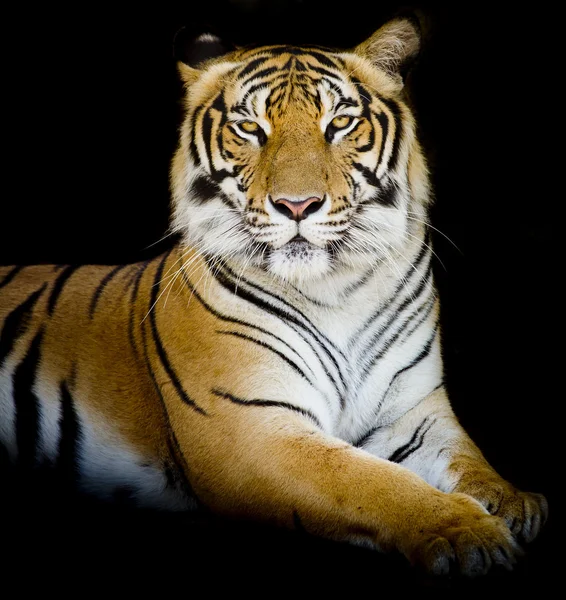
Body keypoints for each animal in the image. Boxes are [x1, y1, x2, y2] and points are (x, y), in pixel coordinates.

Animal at [0, 16, 552, 576]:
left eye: (340, 124)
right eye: (250, 129)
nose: (297, 205)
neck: (337, 289)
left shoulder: (414, 411)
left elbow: (468, 459)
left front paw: (513, 502)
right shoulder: (251, 429)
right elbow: (372, 482)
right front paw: (468, 533)